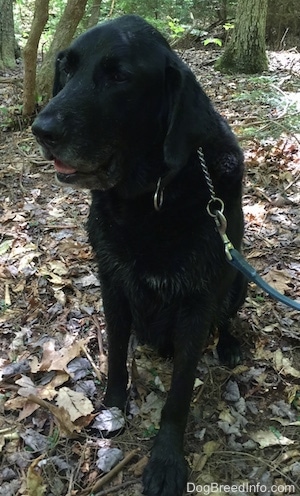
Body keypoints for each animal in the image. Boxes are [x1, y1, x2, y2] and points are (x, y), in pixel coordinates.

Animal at [32, 15, 247, 496]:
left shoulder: (197, 302)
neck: (150, 197)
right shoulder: (113, 284)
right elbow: (114, 354)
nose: (42, 129)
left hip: (240, 277)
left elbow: (180, 393)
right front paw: (113, 409)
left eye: (119, 77)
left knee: (228, 319)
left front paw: (166, 459)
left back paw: (229, 345)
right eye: (67, 68)